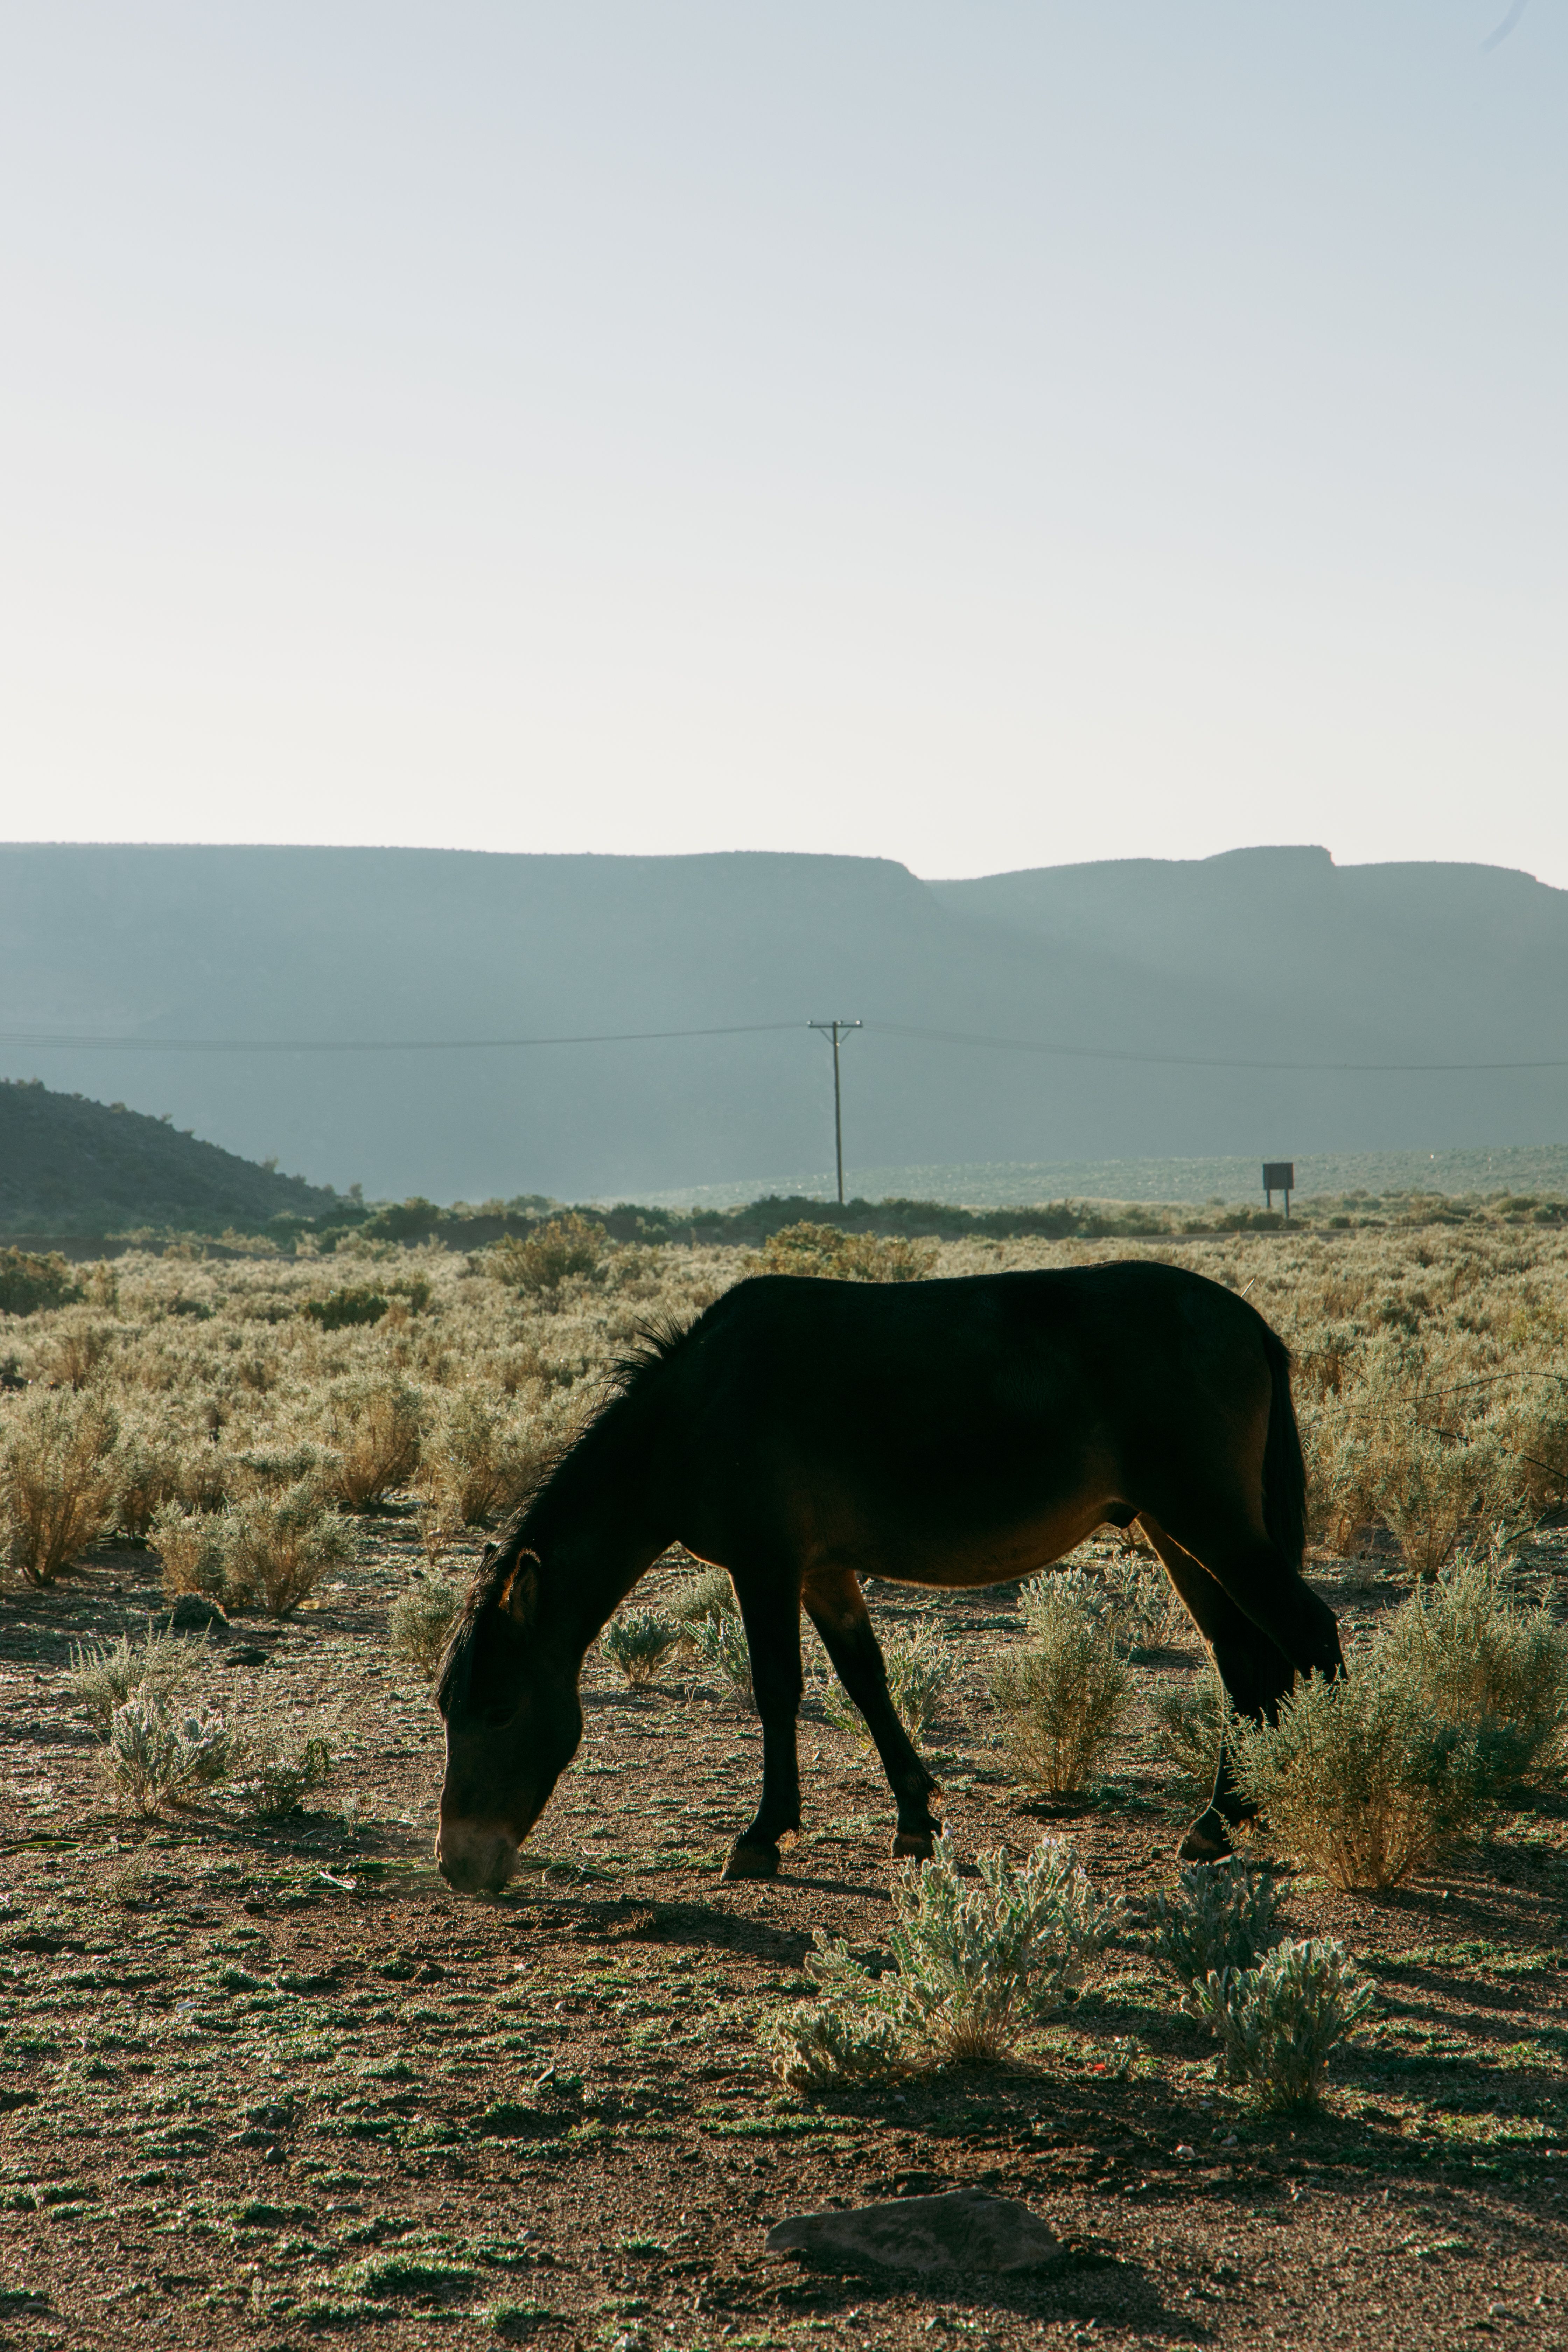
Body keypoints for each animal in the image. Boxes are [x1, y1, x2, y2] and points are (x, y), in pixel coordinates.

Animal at [434, 1260, 1343, 1895]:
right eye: (448, 1707)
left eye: (500, 1709)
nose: (457, 1864)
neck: (696, 1408)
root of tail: (1247, 1320)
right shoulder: (822, 1571)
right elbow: (865, 1680)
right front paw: (915, 1818)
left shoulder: (766, 1569)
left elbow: (777, 1689)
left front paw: (762, 1836)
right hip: (1179, 1534)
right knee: (1242, 1661)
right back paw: (1219, 1822)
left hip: (1207, 1524)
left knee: (1308, 1634)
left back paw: (1336, 1786)